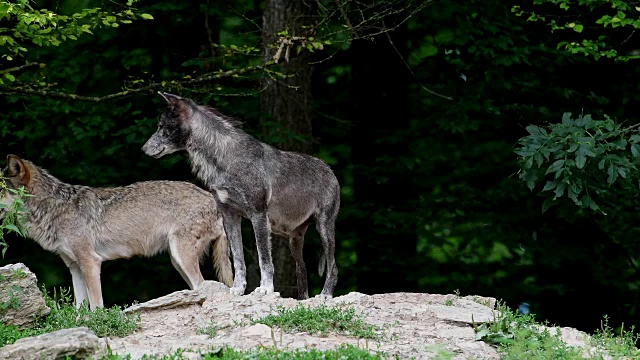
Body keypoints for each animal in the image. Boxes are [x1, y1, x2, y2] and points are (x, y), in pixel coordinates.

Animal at [0, 155, 235, 310]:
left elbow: (96, 305)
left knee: (204, 286)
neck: (54, 208)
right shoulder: (75, 268)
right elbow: (79, 309)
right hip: (177, 261)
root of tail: (213, 200)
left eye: (0, 190)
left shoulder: (90, 262)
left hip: (182, 257)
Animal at [141, 92, 340, 298]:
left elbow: (264, 259)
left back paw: (325, 295)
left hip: (324, 229)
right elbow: (238, 260)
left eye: (161, 127)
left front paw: (266, 289)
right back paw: (303, 299)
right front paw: (237, 289)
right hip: (295, 240)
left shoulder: (258, 216)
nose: (143, 149)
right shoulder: (230, 217)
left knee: (333, 267)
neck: (226, 159)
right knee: (302, 269)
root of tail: (329, 170)